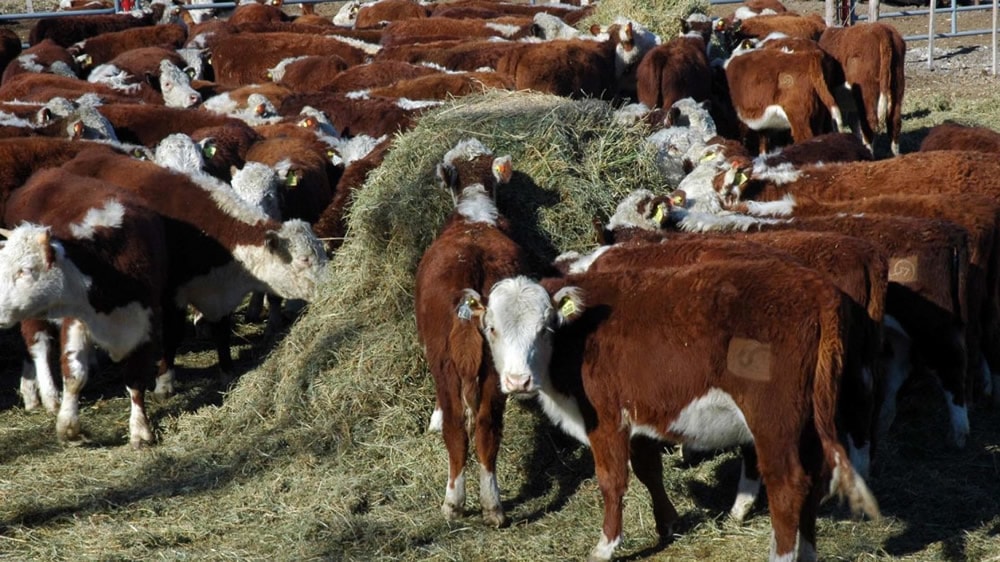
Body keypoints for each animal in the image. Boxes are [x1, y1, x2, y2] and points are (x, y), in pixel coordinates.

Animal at [464, 260, 880, 560]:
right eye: (492, 328)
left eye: (545, 328)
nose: (517, 381)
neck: (578, 336)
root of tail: (818, 289)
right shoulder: (639, 418)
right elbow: (649, 471)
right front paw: (668, 523)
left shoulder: (606, 420)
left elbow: (612, 481)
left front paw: (606, 546)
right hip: (812, 419)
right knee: (813, 482)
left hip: (774, 421)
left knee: (789, 486)